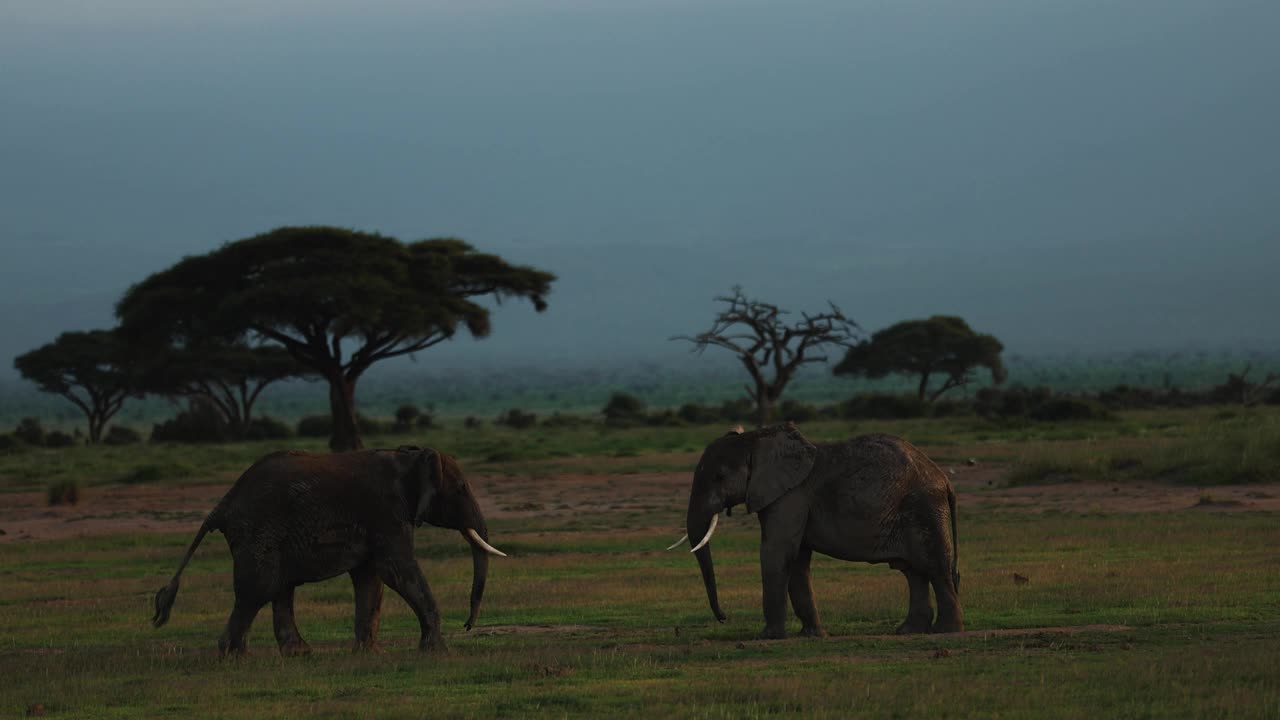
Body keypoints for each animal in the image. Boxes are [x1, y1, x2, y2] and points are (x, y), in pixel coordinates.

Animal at [149, 440, 504, 653]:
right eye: (461, 489)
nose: (468, 625)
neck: (407, 457)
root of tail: (220, 506)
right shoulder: (385, 512)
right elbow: (397, 571)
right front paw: (435, 651)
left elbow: (370, 578)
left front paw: (368, 653)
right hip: (258, 532)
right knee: (258, 590)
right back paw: (233, 656)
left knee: (279, 589)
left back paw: (298, 654)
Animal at [670, 422, 962, 635]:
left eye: (719, 477)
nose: (724, 618)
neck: (756, 439)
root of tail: (945, 479)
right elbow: (797, 559)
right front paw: (811, 635)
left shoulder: (791, 496)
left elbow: (776, 552)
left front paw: (768, 636)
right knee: (913, 571)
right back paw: (908, 631)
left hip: (924, 508)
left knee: (934, 567)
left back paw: (945, 631)